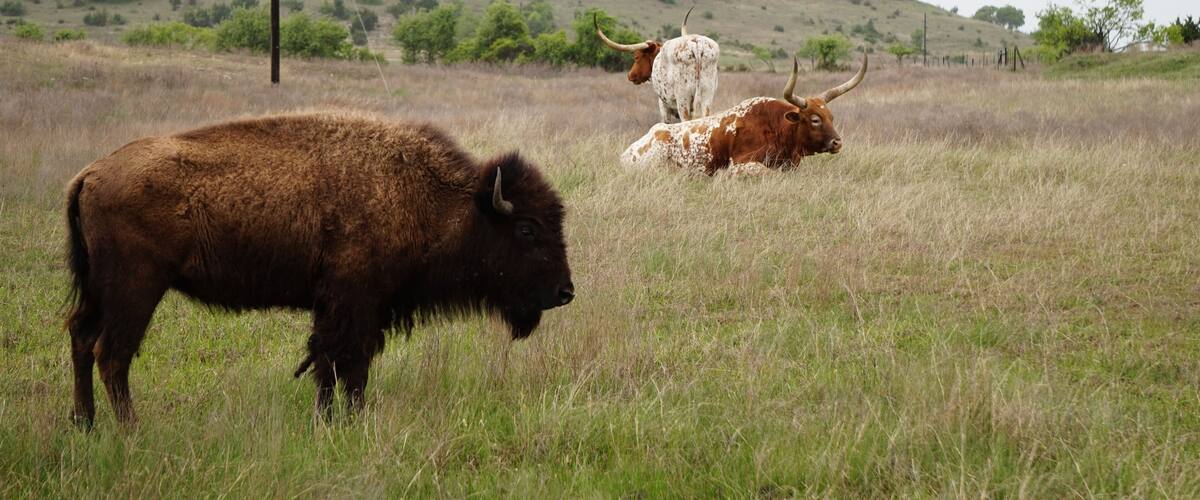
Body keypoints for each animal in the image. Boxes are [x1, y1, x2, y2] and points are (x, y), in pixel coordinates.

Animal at [64, 113, 575, 427]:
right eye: (527, 229)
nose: (565, 292)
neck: (437, 200)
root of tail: (90, 173)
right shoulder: (354, 303)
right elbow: (347, 364)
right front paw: (346, 421)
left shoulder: (342, 307)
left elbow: (332, 364)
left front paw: (330, 420)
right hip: (136, 288)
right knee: (113, 355)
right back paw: (131, 430)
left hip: (98, 290)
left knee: (82, 338)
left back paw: (85, 425)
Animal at [621, 55, 868, 176]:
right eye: (815, 119)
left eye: (831, 117)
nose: (837, 142)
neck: (778, 129)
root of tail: (626, 154)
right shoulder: (740, 164)